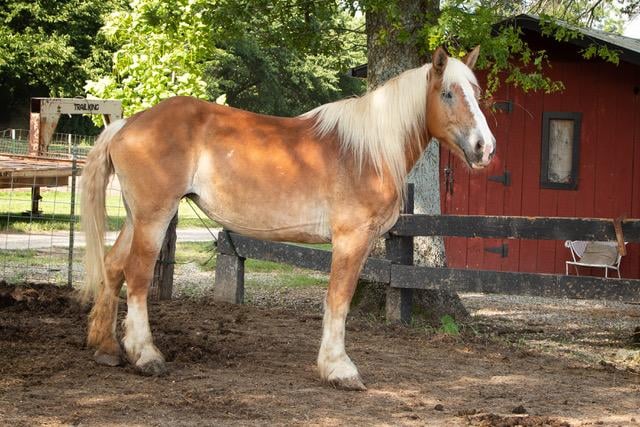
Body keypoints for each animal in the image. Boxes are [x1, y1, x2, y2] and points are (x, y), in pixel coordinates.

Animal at [81, 46, 496, 392]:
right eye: (448, 93)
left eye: (476, 94)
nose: (485, 148)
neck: (367, 151)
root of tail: (127, 125)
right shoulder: (351, 238)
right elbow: (338, 299)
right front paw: (339, 369)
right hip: (154, 217)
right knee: (136, 275)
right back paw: (145, 355)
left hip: (136, 217)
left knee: (113, 267)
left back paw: (107, 348)